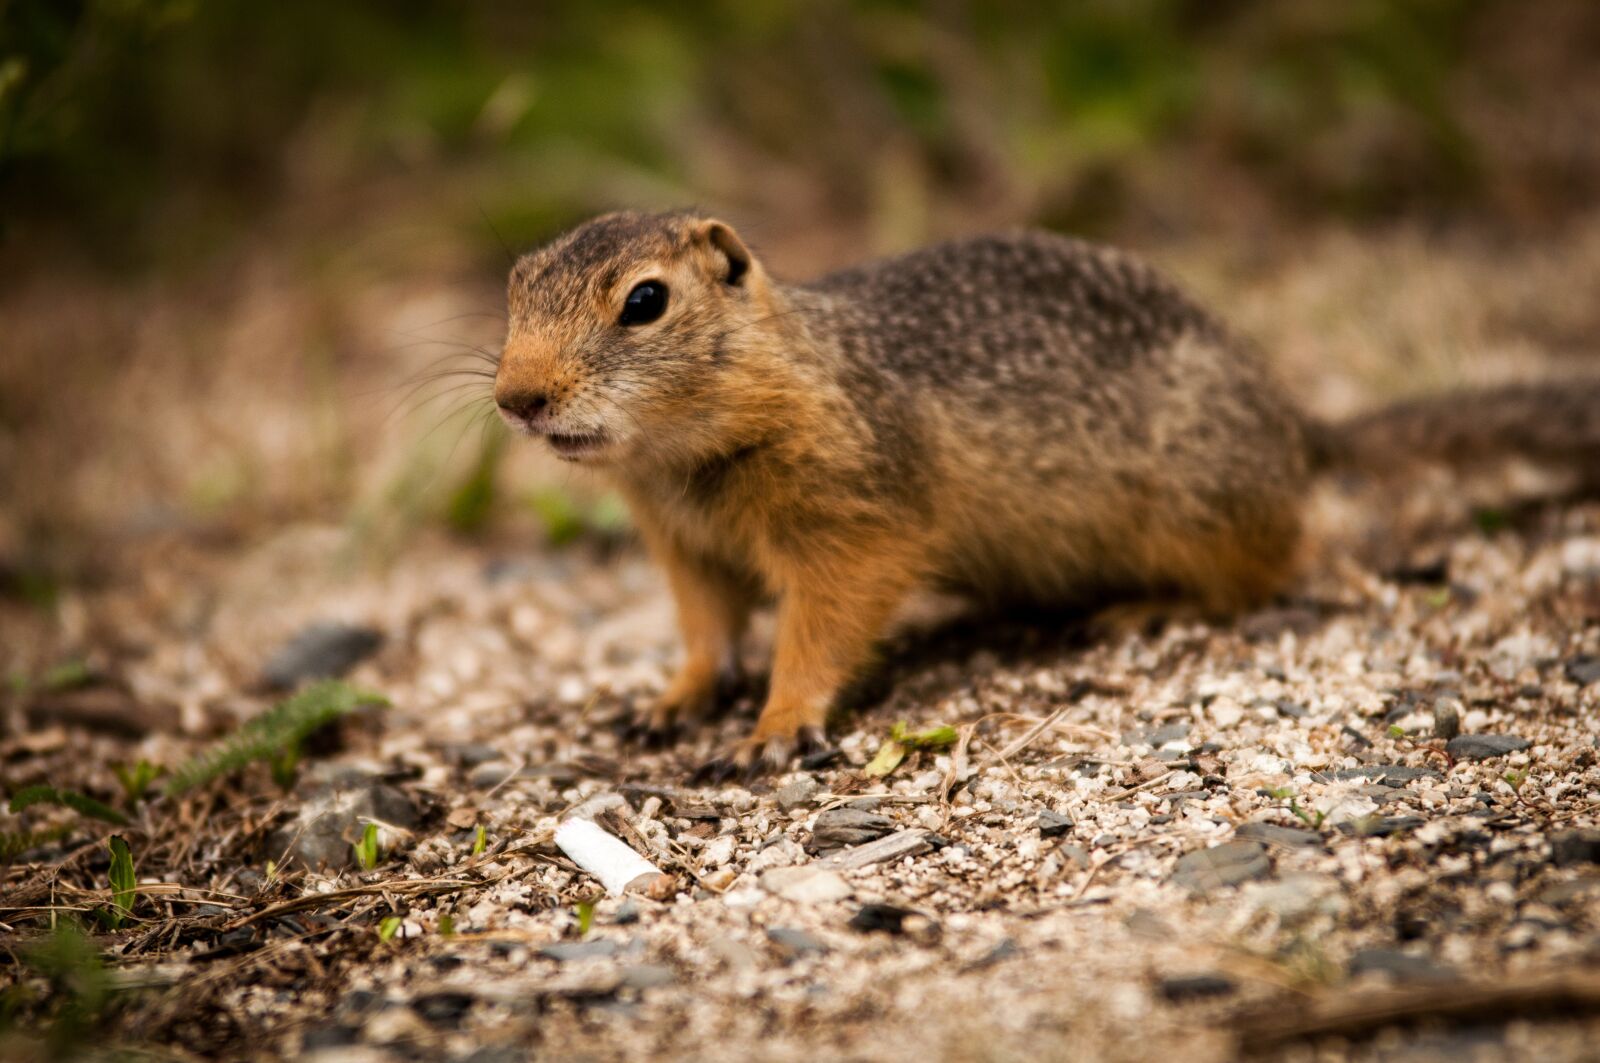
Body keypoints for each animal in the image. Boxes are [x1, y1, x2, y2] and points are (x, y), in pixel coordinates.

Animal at [493, 210, 1600, 773]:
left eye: (645, 300)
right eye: (512, 285)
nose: (516, 398)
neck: (683, 457)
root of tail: (1294, 427)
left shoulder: (853, 519)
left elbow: (821, 624)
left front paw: (777, 726)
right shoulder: (684, 549)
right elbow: (705, 630)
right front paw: (671, 702)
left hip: (1198, 511)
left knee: (1273, 568)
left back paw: (1141, 607)